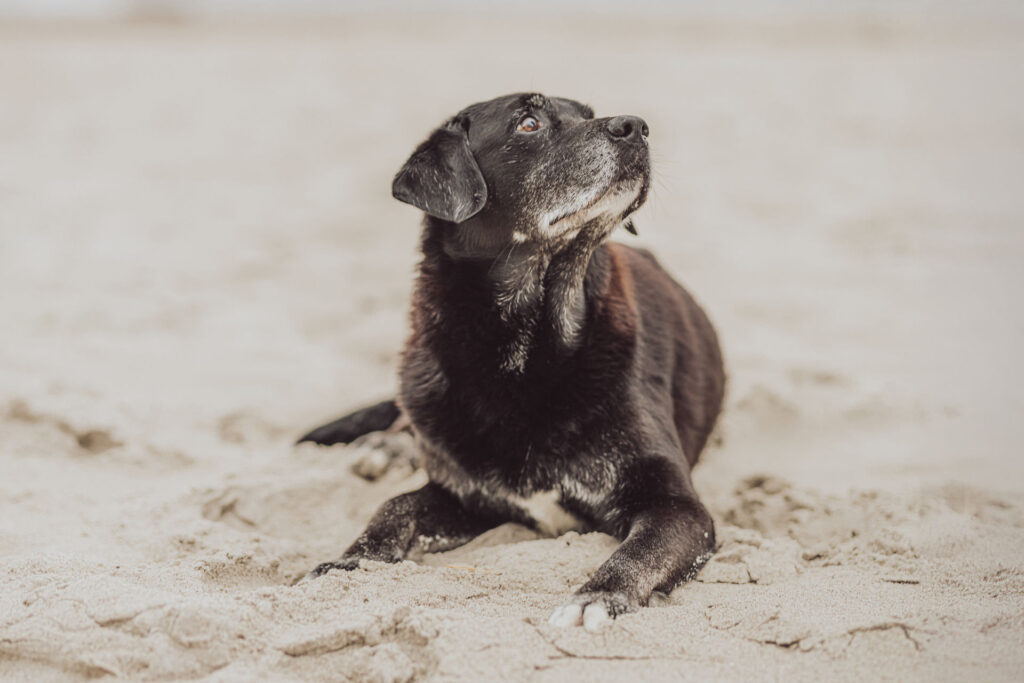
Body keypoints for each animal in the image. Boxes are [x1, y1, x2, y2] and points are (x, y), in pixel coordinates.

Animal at [299, 93, 729, 634]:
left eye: (589, 115)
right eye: (528, 124)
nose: (637, 126)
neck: (525, 356)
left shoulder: (677, 505)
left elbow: (640, 551)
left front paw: (598, 595)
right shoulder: (466, 499)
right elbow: (393, 508)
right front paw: (351, 561)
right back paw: (386, 446)